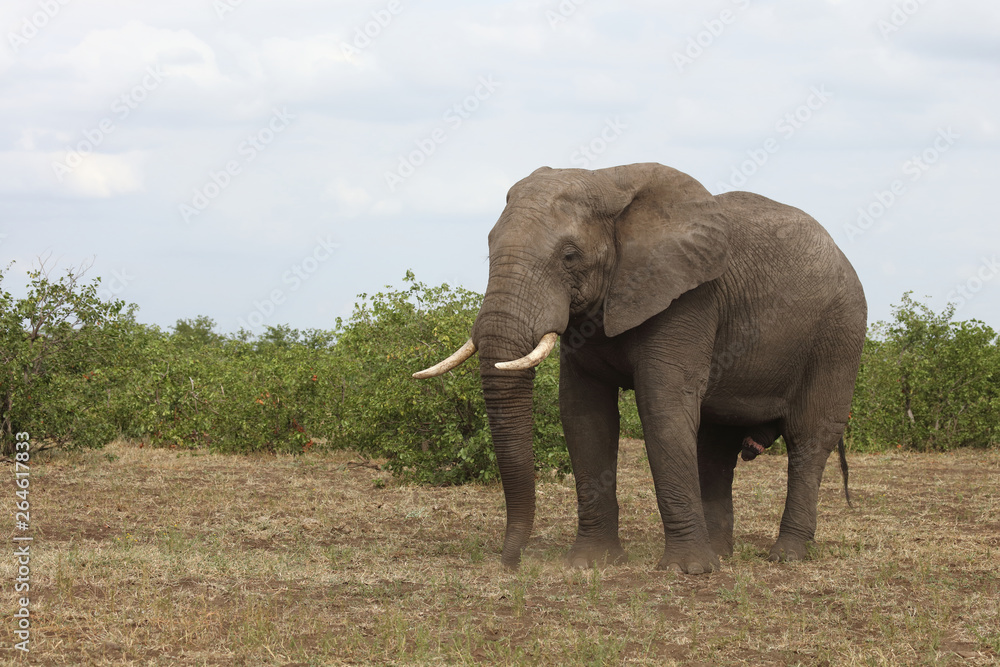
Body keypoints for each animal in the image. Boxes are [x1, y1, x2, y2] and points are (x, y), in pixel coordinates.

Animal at [414, 162, 866, 574]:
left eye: (569, 256)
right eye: (489, 248)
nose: (511, 565)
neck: (609, 182)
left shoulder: (688, 299)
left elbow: (662, 405)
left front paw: (686, 571)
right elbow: (584, 415)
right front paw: (591, 564)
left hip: (840, 332)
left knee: (808, 438)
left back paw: (785, 556)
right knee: (716, 445)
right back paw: (722, 555)